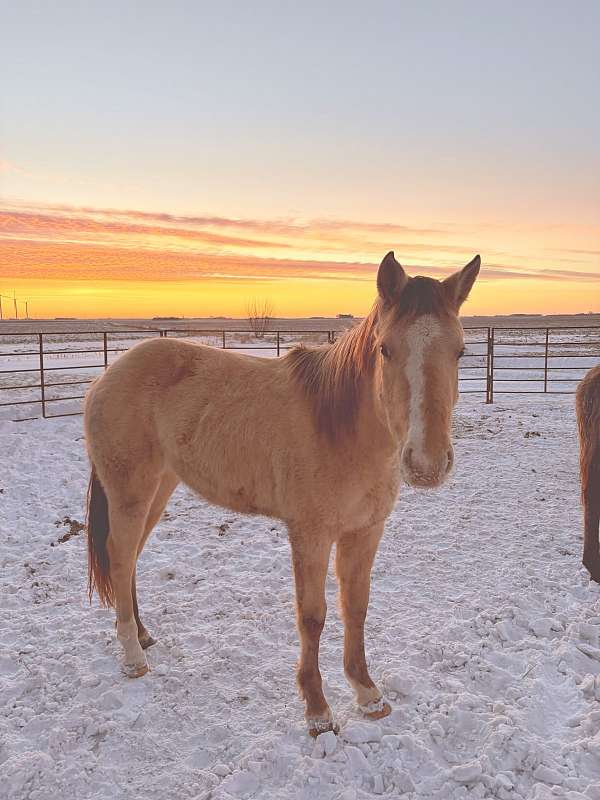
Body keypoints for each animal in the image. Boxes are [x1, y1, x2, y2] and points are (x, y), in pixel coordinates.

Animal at [84, 251, 480, 736]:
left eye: (460, 351)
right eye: (386, 349)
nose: (427, 463)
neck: (342, 428)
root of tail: (108, 375)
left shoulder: (365, 531)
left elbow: (357, 607)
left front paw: (367, 694)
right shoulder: (310, 534)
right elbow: (312, 616)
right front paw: (318, 709)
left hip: (158, 488)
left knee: (131, 558)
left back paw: (142, 635)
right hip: (130, 490)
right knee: (121, 558)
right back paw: (133, 656)